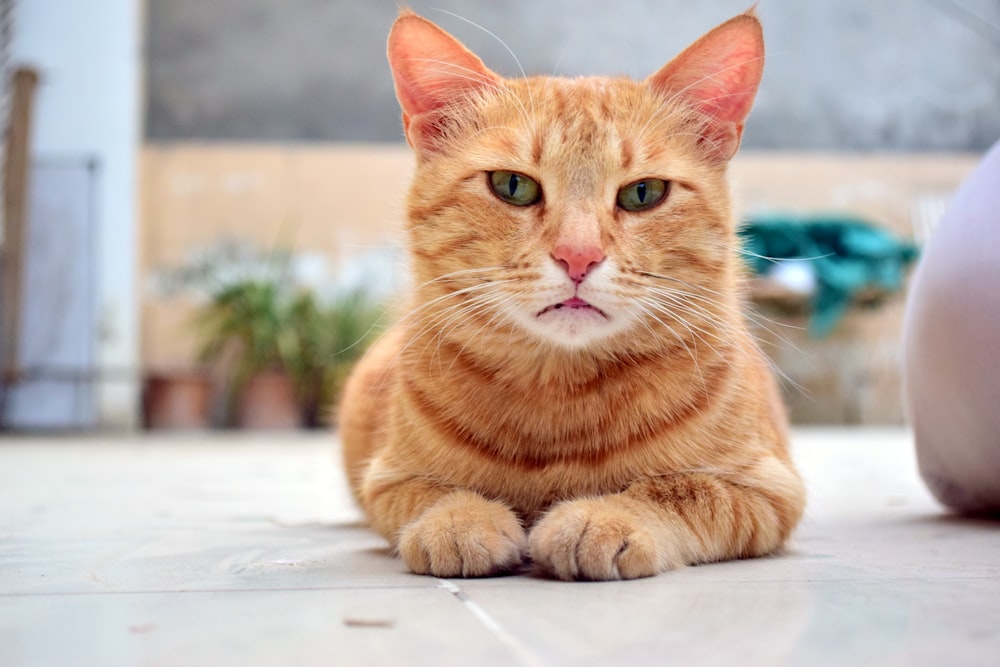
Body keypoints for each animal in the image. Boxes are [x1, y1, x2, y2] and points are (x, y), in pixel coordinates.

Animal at [340, 9, 808, 580]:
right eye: (512, 185)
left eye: (643, 193)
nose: (578, 256)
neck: (560, 398)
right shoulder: (388, 479)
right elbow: (432, 493)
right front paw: (459, 520)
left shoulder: (767, 488)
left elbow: (680, 490)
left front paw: (605, 517)